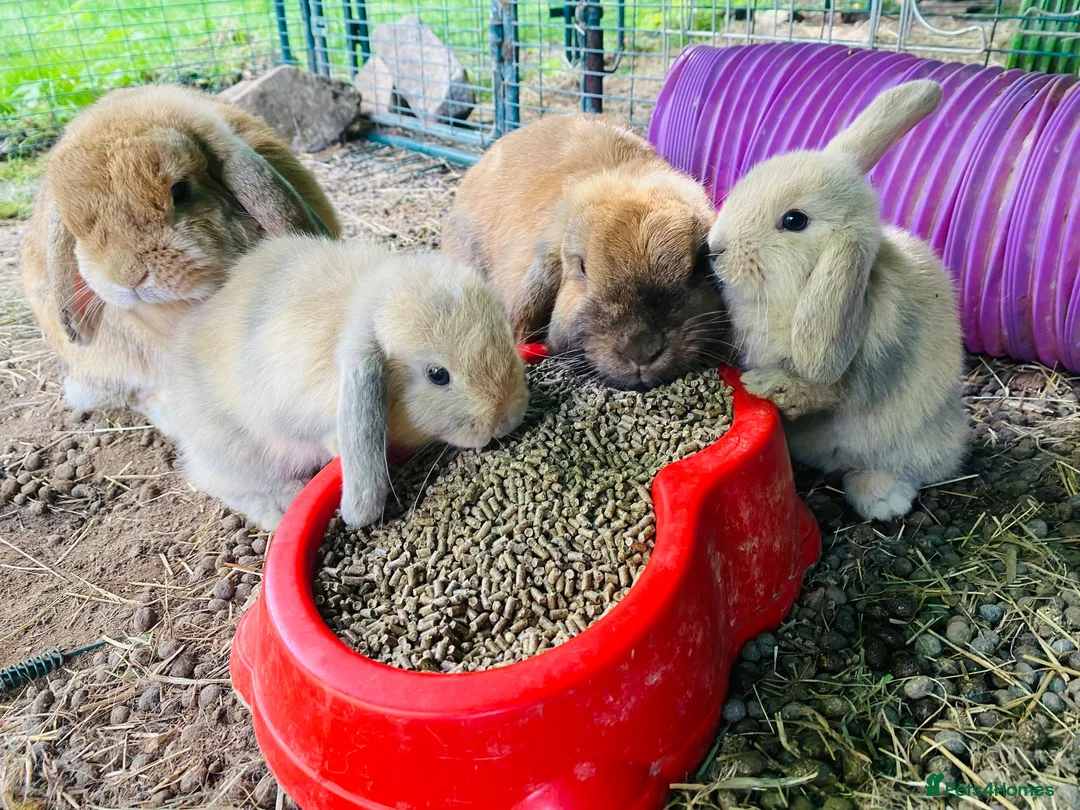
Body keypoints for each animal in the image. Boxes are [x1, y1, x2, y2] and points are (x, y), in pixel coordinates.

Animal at [164, 235, 530, 531]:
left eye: (505, 332)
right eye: (437, 375)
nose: (506, 420)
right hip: (236, 453)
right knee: (221, 483)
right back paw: (280, 505)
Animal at [707, 80, 967, 522]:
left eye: (794, 221)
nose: (714, 249)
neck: (796, 294)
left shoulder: (862, 367)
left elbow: (826, 391)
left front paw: (765, 386)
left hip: (912, 442)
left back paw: (882, 499)